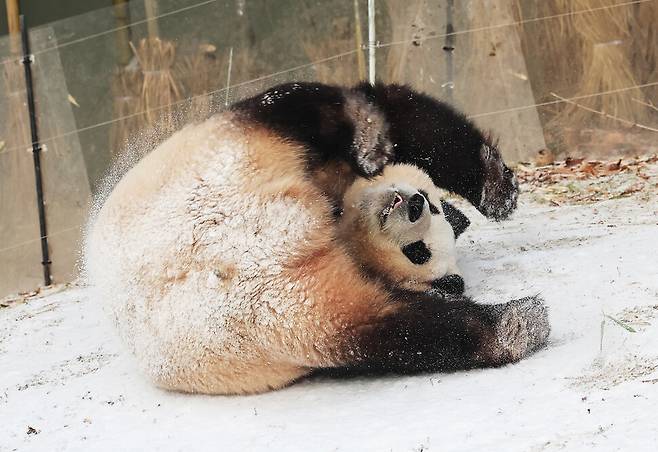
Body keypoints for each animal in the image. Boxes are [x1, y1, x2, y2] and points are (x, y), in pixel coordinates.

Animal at [87, 82, 548, 396]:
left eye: (418, 251)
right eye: (433, 206)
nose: (414, 203)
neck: (341, 225)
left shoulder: (311, 309)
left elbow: (405, 332)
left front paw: (521, 320)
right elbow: (410, 123)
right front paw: (497, 193)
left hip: (284, 305)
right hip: (234, 148)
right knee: (318, 104)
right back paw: (371, 135)